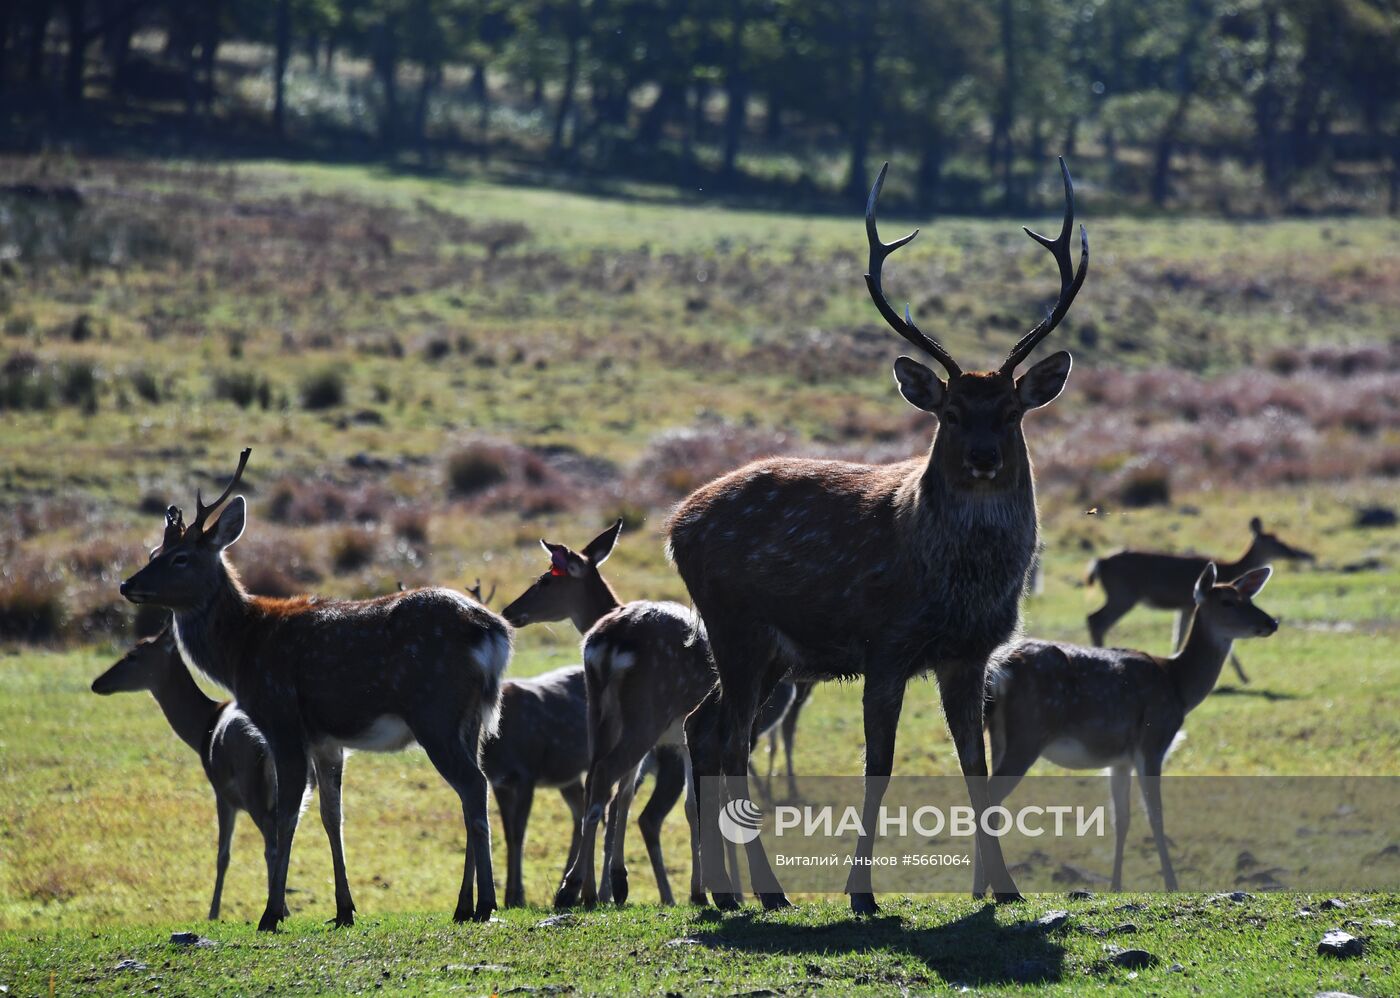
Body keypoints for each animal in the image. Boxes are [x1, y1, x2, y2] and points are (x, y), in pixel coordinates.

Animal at [119, 450, 515, 923]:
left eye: (180, 557)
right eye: (153, 551)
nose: (127, 584)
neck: (240, 652)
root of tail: (493, 632)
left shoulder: (282, 721)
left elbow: (286, 816)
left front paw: (272, 913)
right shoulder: (326, 740)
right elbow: (331, 815)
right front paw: (344, 908)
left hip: (434, 710)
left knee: (472, 785)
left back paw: (484, 903)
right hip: (472, 719)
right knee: (473, 787)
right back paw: (463, 904)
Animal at [669, 155, 1092, 912]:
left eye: (1012, 411)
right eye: (950, 412)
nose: (983, 458)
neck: (955, 586)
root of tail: (674, 524)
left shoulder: (968, 656)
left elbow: (976, 765)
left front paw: (1003, 888)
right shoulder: (887, 645)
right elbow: (880, 766)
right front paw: (862, 894)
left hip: (771, 655)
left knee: (703, 728)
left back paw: (722, 892)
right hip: (734, 627)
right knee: (729, 742)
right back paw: (764, 892)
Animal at [1086, 515, 1304, 685]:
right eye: (1274, 541)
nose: (1294, 552)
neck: (1230, 569)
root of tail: (1099, 562)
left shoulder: (1184, 606)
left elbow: (1179, 634)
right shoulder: (1189, 604)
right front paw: (1244, 677)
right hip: (1123, 595)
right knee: (1096, 619)